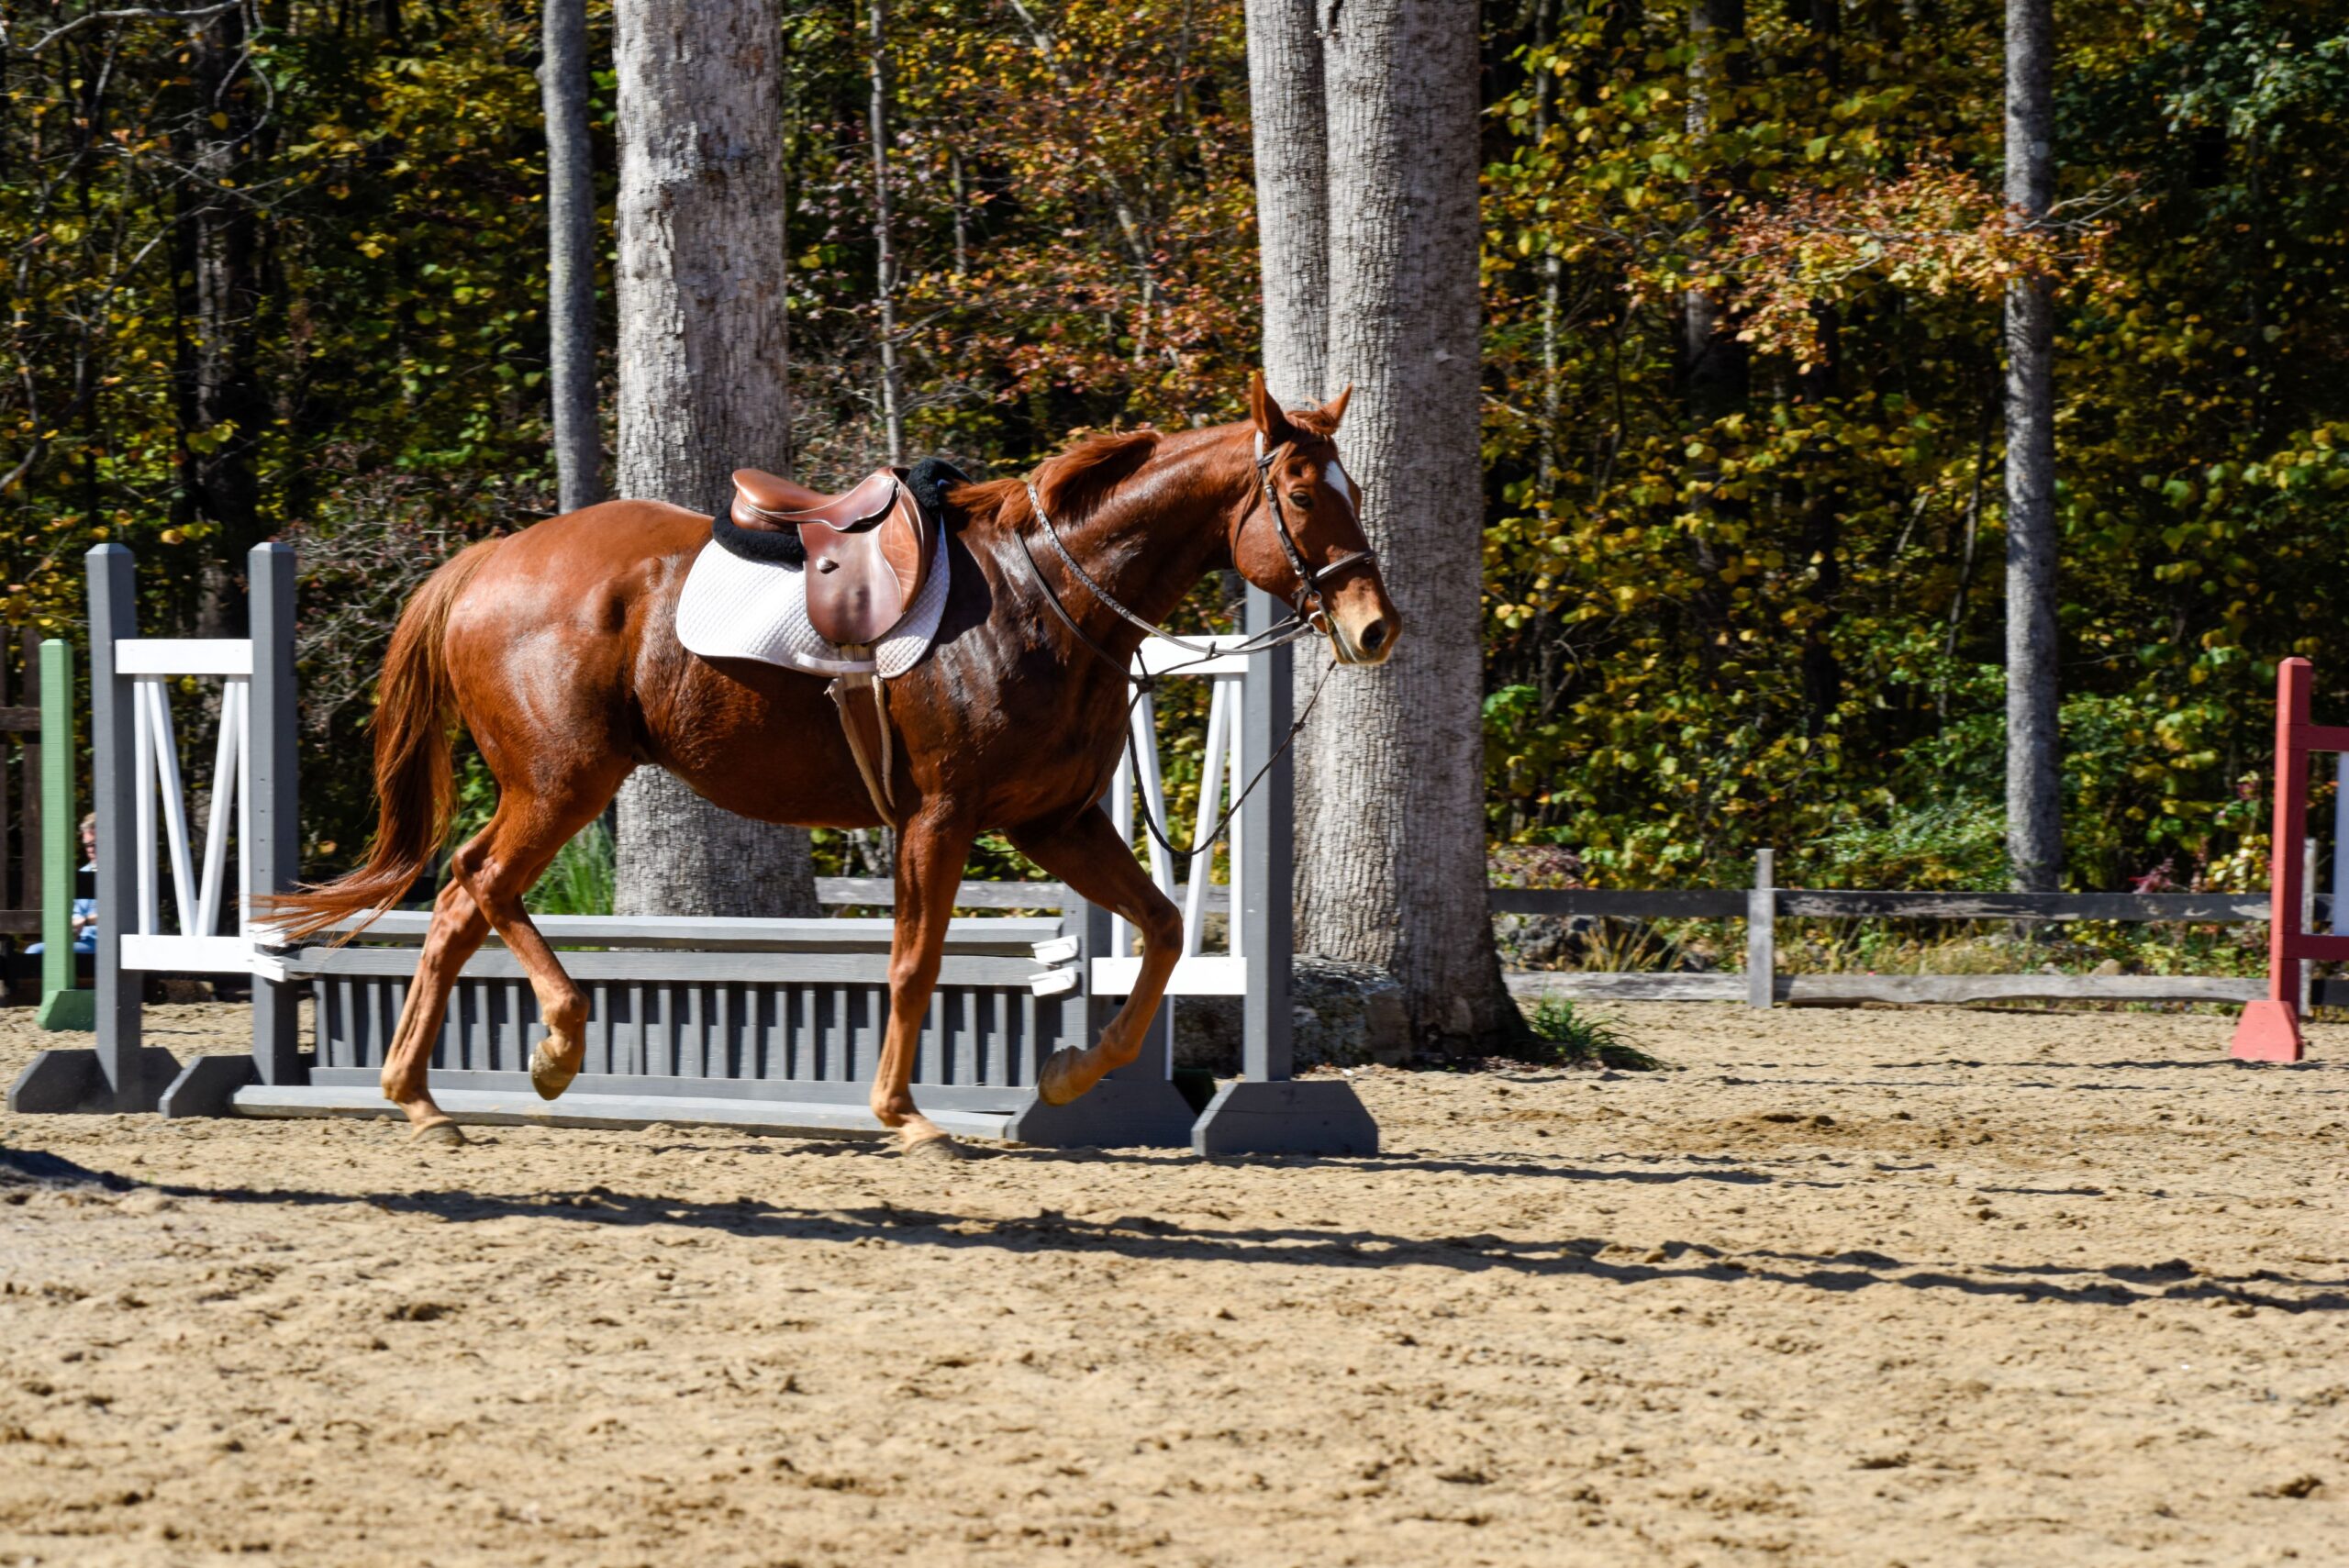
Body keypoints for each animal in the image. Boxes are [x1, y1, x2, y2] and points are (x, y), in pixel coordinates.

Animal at [269, 375, 1400, 1156]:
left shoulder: (1055, 822)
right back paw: (550, 1047)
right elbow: (913, 963)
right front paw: (906, 1116)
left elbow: (1161, 932)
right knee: (479, 883)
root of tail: (487, 561)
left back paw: (424, 1098)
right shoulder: (941, 818)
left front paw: (1075, 1075)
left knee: (462, 902)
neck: (1047, 594)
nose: (1374, 626)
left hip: (556, 785)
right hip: (562, 782)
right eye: (1303, 496)